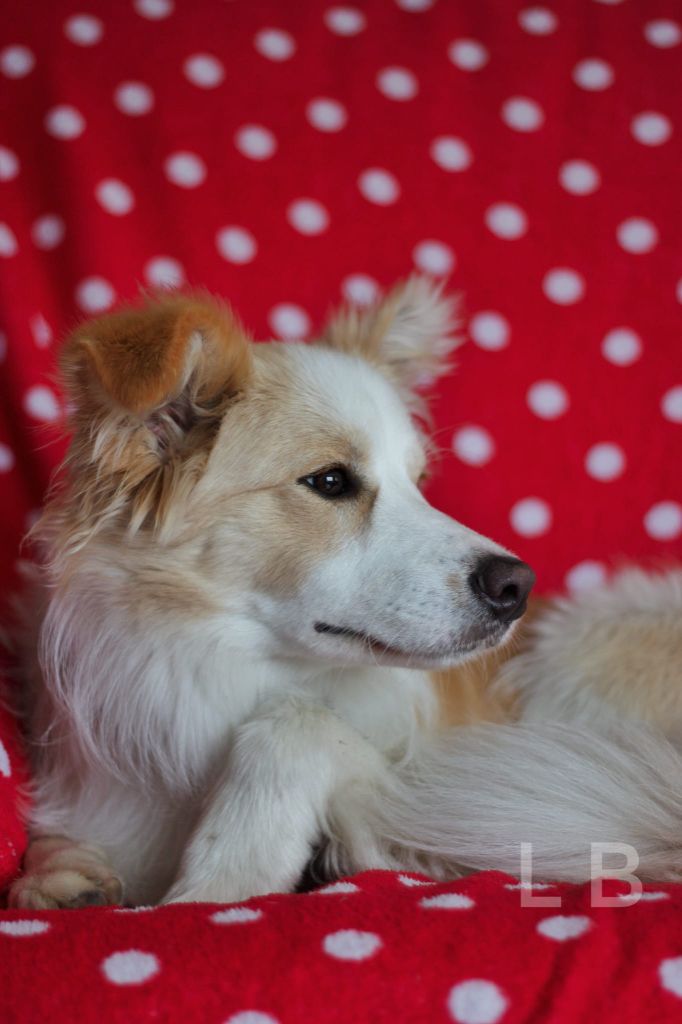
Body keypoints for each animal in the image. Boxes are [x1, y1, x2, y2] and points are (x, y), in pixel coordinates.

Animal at [9, 277, 682, 909]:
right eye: (330, 481)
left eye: (418, 484)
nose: (517, 585)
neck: (222, 668)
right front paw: (63, 876)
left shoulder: (430, 786)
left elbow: (299, 724)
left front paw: (226, 880)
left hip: (578, 650)